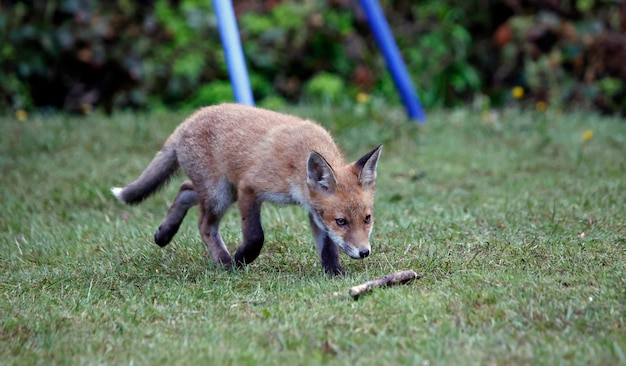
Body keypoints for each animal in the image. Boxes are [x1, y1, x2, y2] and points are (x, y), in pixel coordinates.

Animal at [112, 103, 380, 274]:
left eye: (367, 219)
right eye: (341, 222)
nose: (364, 252)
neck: (296, 161)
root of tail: (188, 121)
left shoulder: (314, 210)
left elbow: (327, 246)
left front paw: (334, 271)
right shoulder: (249, 187)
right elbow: (255, 236)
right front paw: (242, 258)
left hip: (221, 192)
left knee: (185, 189)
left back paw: (164, 233)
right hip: (220, 193)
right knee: (204, 224)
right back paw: (225, 262)